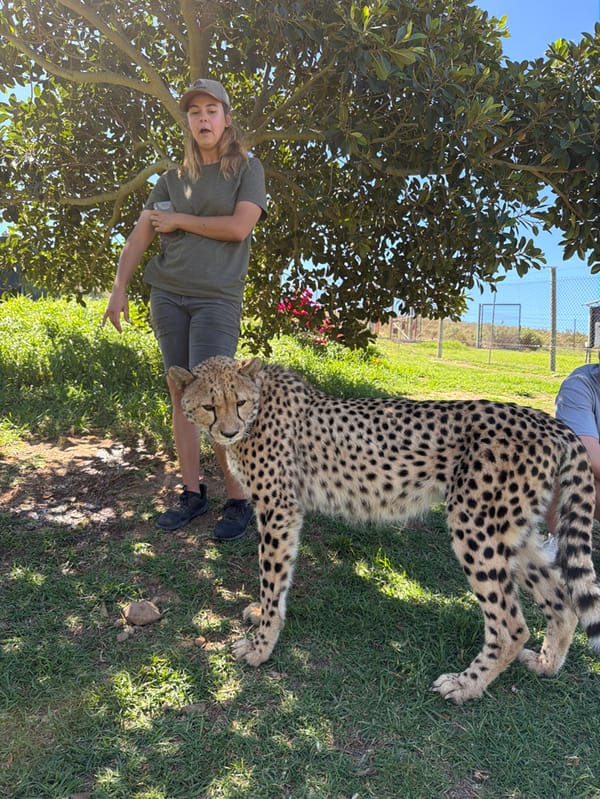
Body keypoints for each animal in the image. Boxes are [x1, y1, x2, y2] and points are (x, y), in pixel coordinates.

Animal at [169, 355, 600, 704]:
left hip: (476, 526)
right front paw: (260, 615)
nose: (228, 432)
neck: (259, 404)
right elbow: (278, 579)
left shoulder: (279, 509)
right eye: (209, 406)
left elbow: (272, 578)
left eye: (239, 403)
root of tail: (548, 421)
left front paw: (261, 647)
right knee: (563, 601)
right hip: (515, 529)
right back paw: (546, 664)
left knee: (511, 625)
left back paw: (467, 685)